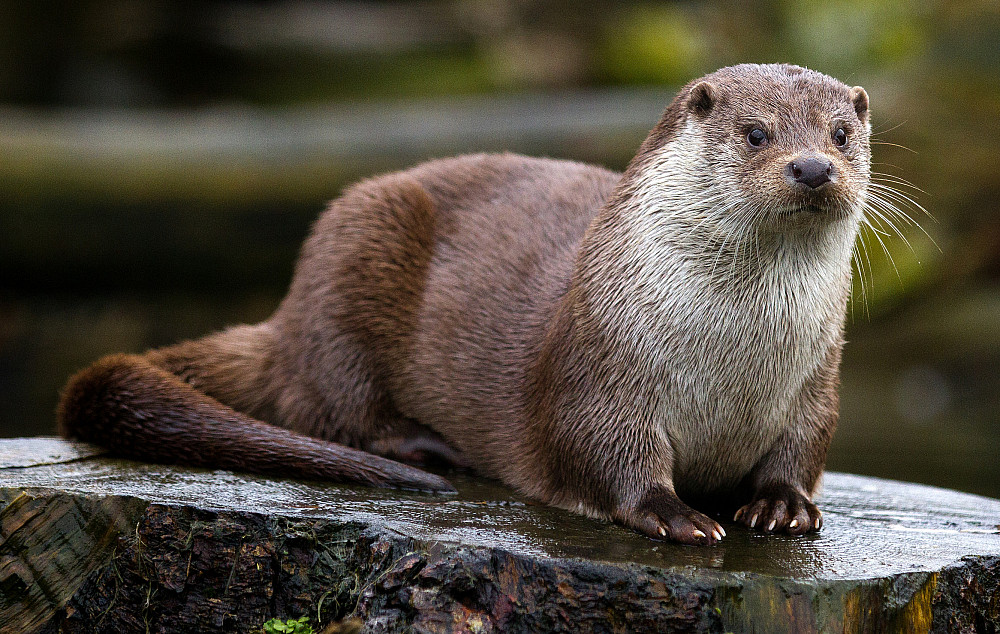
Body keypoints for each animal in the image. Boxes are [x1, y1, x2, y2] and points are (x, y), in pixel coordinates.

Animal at [59, 64, 873, 545]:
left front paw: (781, 506)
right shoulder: (598, 369)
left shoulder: (817, 384)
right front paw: (677, 515)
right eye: (756, 133)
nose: (813, 167)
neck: (733, 363)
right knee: (326, 404)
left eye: (843, 134)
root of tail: (285, 319)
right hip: (353, 250)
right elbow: (603, 453)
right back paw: (424, 447)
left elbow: (806, 447)